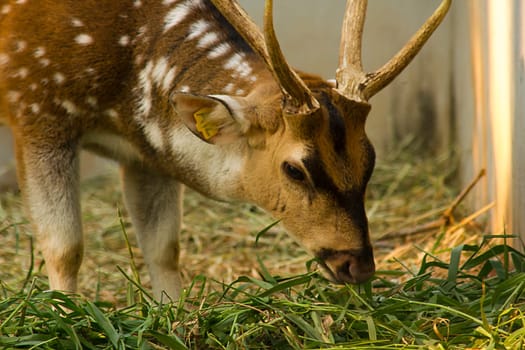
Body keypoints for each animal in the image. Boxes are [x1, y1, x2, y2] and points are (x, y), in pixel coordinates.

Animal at [0, 0, 450, 300]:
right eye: (295, 169)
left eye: (370, 159)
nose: (357, 264)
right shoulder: (36, 108)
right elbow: (65, 248)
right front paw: (68, 319)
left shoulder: (145, 154)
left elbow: (164, 248)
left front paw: (173, 318)